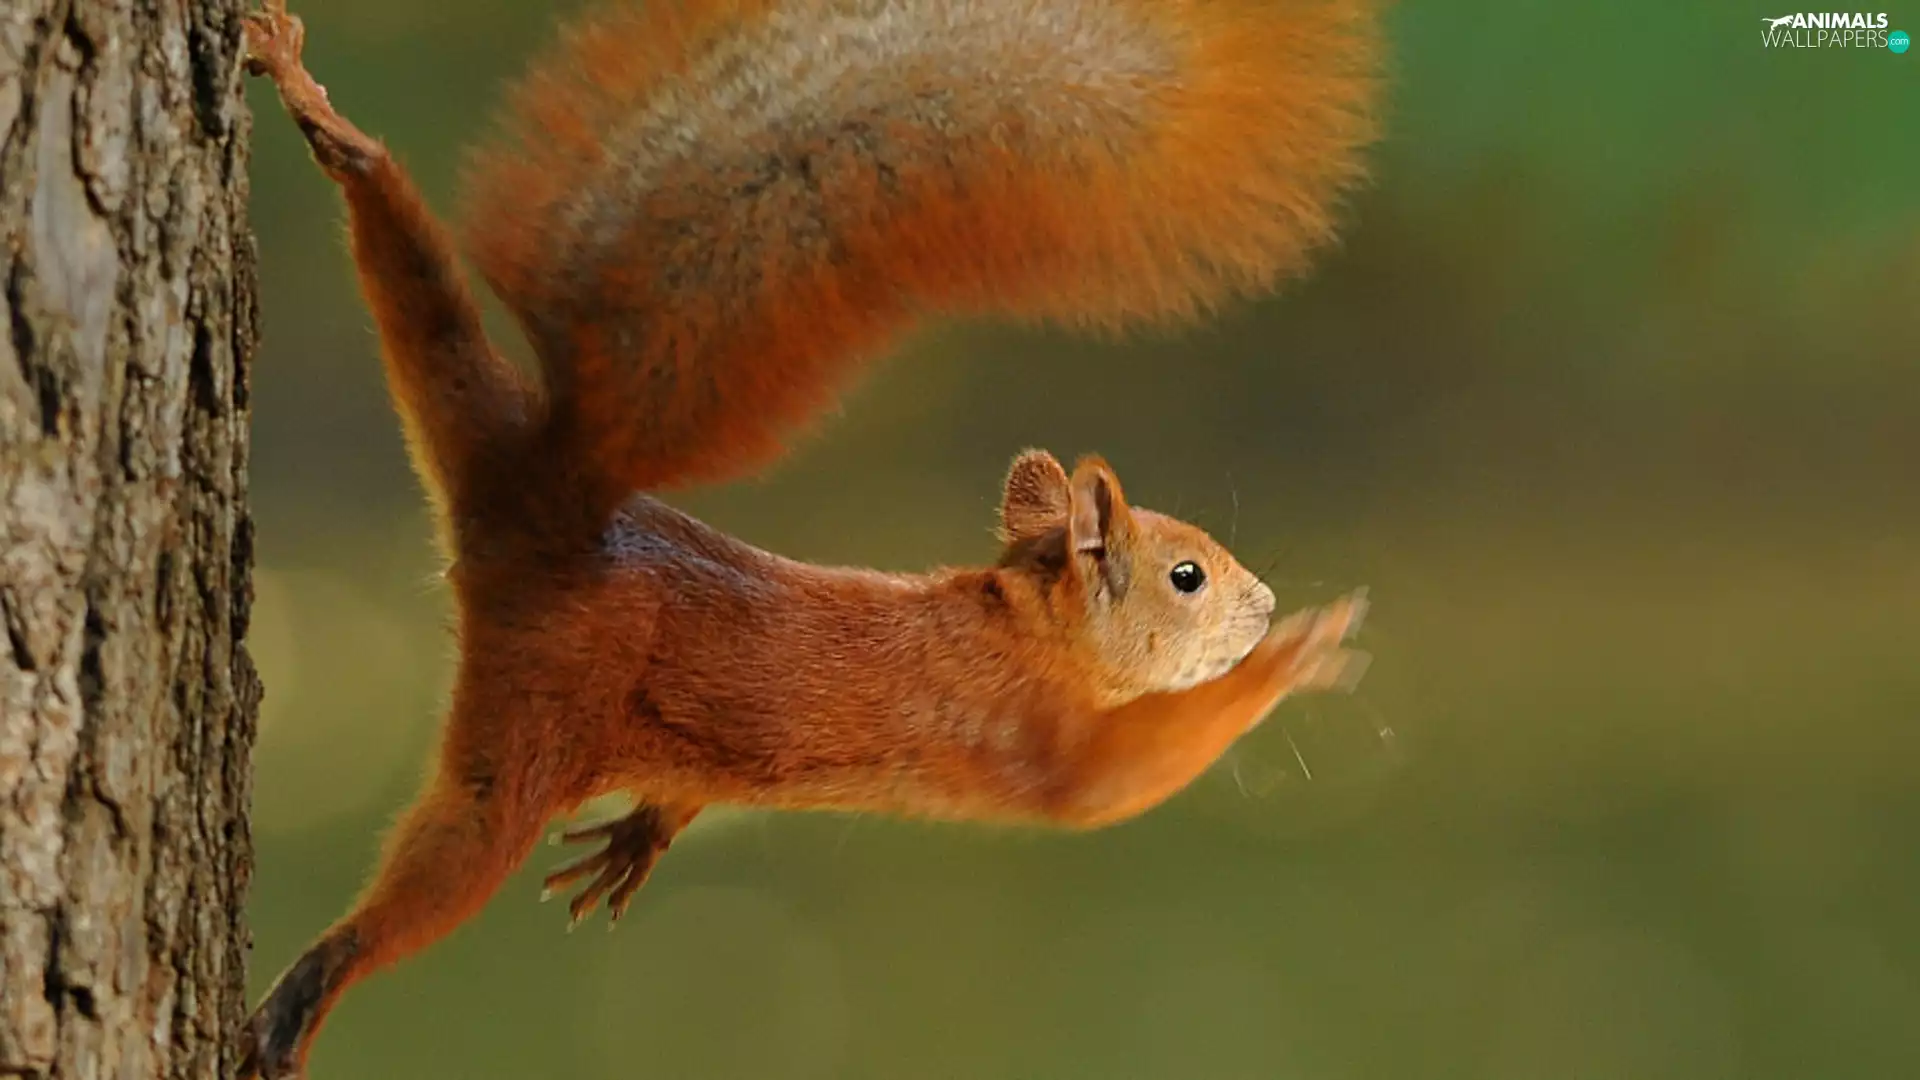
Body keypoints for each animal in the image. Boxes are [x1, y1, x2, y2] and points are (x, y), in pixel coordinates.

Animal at [237, 0, 1380, 1075]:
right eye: (1187, 575)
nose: (1264, 605)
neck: (1028, 628)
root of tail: (550, 495)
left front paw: (644, 832)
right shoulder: (1045, 740)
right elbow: (1129, 774)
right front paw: (1293, 655)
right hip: (530, 724)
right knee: (443, 863)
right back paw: (311, 986)